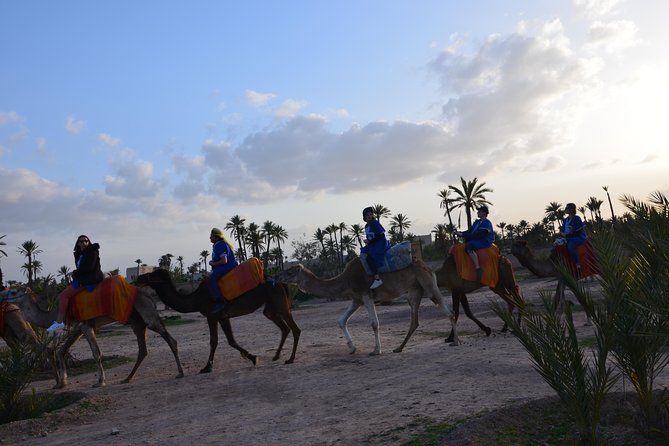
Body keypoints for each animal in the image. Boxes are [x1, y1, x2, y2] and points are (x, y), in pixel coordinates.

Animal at [13, 286, 184, 389]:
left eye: (13, 291)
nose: (5, 294)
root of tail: (149, 296)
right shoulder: (79, 328)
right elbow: (62, 350)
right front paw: (62, 382)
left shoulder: (84, 325)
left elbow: (96, 353)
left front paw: (100, 381)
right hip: (136, 321)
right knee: (143, 349)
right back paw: (127, 379)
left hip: (147, 315)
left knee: (169, 339)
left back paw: (180, 373)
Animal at [135, 269, 300, 372]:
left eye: (152, 274)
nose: (139, 278)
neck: (196, 299)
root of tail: (281, 283)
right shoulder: (223, 316)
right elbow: (231, 340)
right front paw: (253, 358)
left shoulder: (212, 315)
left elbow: (213, 341)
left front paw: (206, 367)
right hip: (270, 307)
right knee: (284, 327)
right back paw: (276, 356)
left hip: (279, 302)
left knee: (295, 329)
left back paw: (291, 359)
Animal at [272, 257, 457, 356]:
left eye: (290, 271)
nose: (276, 276)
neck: (345, 280)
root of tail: (426, 266)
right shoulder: (357, 300)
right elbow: (341, 321)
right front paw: (352, 348)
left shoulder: (366, 295)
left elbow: (374, 323)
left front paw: (376, 350)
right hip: (414, 291)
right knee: (415, 321)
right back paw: (399, 348)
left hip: (427, 284)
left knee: (448, 311)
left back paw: (455, 341)